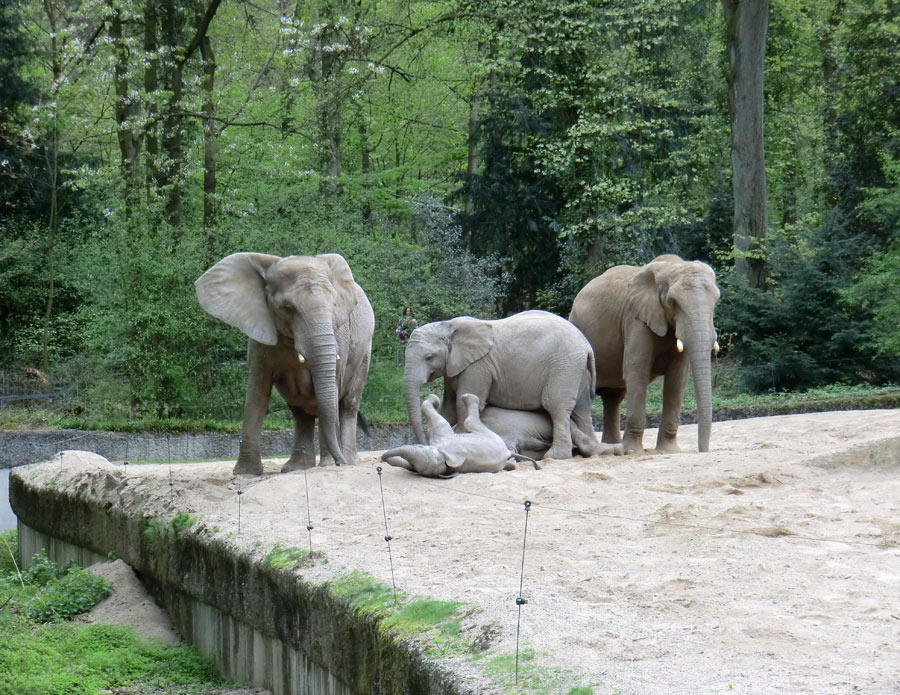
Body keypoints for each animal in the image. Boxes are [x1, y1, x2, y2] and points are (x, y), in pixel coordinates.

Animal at [195, 253, 374, 476]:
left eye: (334, 306)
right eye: (287, 308)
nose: (339, 463)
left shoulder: (340, 335)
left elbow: (331, 391)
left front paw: (329, 466)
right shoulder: (259, 336)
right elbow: (256, 395)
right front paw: (245, 473)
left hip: (364, 353)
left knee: (348, 405)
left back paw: (343, 460)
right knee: (300, 411)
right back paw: (297, 467)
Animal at [380, 394, 536, 482]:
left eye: (420, 446)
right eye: (413, 465)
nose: (382, 459)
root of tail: (507, 452)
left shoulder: (445, 436)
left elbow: (437, 418)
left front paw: (435, 400)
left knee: (470, 422)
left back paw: (467, 398)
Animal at [400, 310, 596, 462]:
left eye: (429, 357)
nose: (423, 444)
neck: (448, 326)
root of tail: (586, 344)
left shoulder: (477, 366)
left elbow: (462, 404)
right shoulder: (454, 368)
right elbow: (449, 409)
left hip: (564, 367)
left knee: (556, 407)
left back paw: (555, 457)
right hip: (577, 371)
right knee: (582, 411)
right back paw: (592, 451)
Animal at [568, 256, 724, 456]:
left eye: (716, 301)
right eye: (673, 302)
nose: (703, 451)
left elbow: (677, 379)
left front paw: (669, 450)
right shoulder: (635, 320)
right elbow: (637, 372)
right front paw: (633, 451)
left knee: (613, 397)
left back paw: (613, 446)